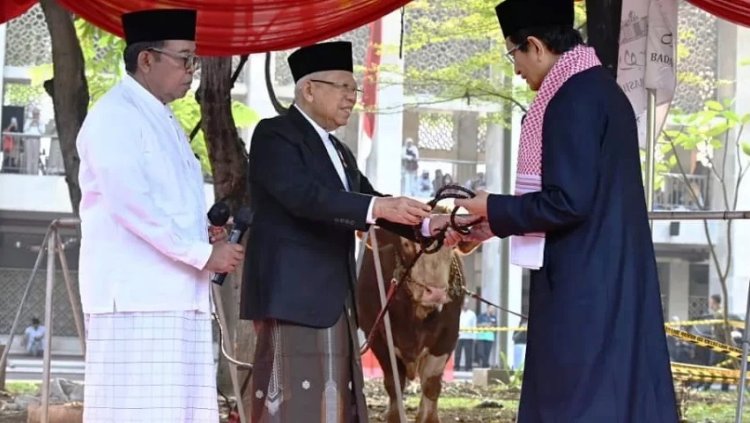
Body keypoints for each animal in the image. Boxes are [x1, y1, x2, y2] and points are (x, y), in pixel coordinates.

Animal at [356, 227, 476, 422]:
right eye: (406, 243)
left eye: (453, 245)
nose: (435, 292)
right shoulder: (376, 335)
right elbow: (394, 383)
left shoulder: (448, 335)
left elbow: (431, 384)